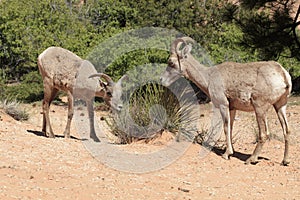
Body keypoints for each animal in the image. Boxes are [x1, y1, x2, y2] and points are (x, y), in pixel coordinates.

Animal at [161, 36, 292, 165]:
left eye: (171, 62)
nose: (162, 80)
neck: (208, 77)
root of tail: (283, 74)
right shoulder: (232, 108)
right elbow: (230, 128)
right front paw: (229, 151)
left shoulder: (223, 105)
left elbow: (225, 127)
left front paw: (226, 154)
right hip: (280, 105)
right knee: (287, 130)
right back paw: (285, 161)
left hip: (260, 108)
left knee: (264, 134)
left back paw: (251, 159)